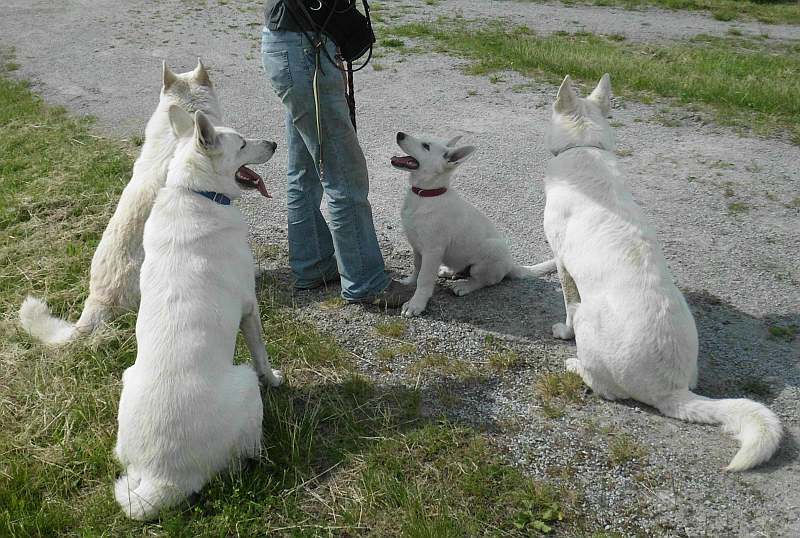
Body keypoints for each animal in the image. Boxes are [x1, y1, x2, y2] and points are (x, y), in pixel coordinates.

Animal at [114, 107, 282, 516]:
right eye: (242, 143)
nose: (274, 143)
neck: (193, 192)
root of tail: (162, 477)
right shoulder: (250, 308)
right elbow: (262, 355)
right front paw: (275, 379)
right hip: (243, 382)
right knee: (247, 456)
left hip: (127, 385)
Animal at [390, 132, 552, 316]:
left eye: (426, 146)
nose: (400, 134)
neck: (426, 195)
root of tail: (510, 265)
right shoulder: (417, 246)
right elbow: (417, 267)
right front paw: (409, 281)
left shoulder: (432, 250)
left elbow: (424, 278)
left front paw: (416, 304)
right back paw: (448, 270)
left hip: (489, 253)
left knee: (484, 281)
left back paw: (465, 286)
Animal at [544, 72, 780, 468]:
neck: (586, 147)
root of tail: (672, 389)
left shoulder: (562, 263)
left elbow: (566, 303)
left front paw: (563, 331)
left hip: (592, 320)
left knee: (606, 389)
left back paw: (574, 364)